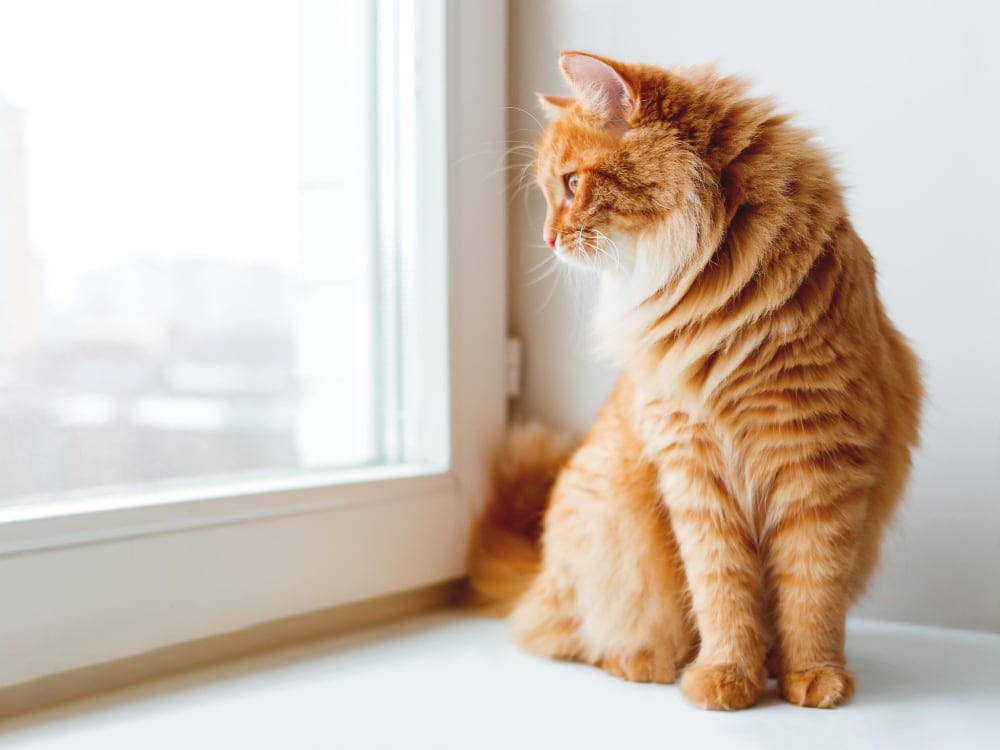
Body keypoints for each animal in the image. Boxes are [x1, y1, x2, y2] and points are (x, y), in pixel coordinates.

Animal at [468, 51, 920, 712]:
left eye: (572, 185)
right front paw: (726, 676)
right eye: (551, 192)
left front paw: (812, 674)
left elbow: (811, 593)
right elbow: (723, 592)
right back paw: (646, 662)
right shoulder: (695, 471)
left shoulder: (819, 466)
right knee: (563, 634)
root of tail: (540, 573)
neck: (721, 301)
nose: (548, 239)